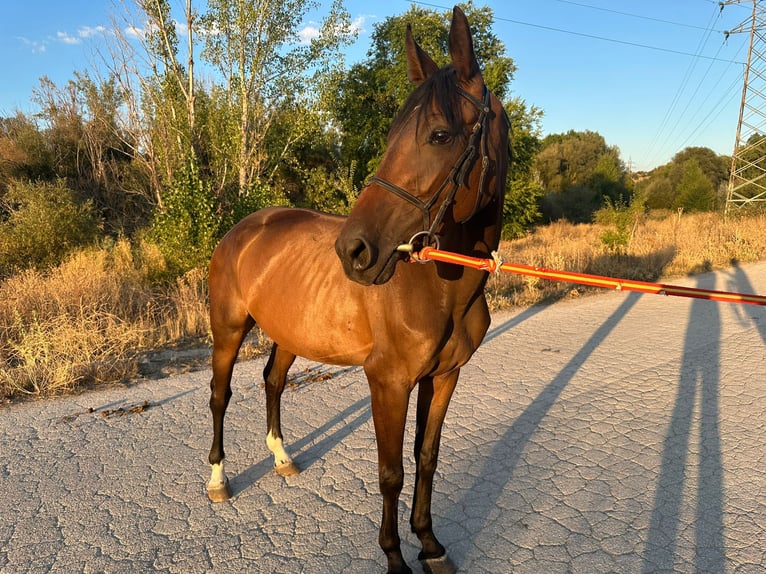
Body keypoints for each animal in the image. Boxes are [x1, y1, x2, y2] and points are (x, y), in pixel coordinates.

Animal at [207, 6, 512, 572]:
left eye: (440, 135)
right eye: (392, 134)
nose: (354, 251)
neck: (439, 288)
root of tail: (244, 228)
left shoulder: (444, 377)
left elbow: (426, 459)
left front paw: (431, 545)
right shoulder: (387, 382)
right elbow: (390, 473)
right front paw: (395, 558)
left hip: (290, 332)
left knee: (272, 382)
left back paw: (282, 457)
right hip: (228, 329)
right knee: (220, 396)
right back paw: (218, 479)